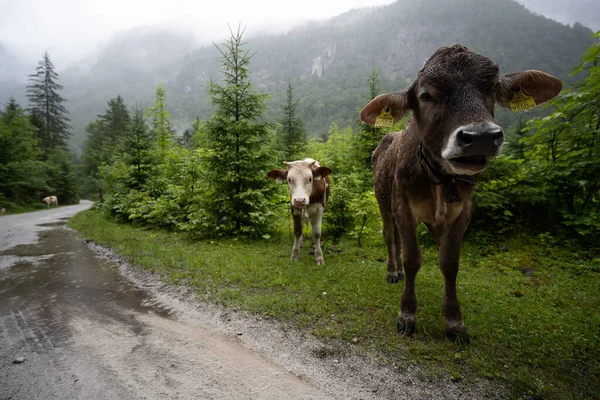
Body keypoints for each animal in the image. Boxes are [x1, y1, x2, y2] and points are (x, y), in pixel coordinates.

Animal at [360, 44, 564, 344]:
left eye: (492, 88)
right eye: (425, 95)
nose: (480, 137)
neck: (439, 180)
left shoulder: (463, 212)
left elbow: (449, 263)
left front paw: (454, 321)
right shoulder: (402, 206)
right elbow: (412, 259)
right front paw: (406, 314)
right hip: (384, 202)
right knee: (390, 235)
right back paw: (392, 271)